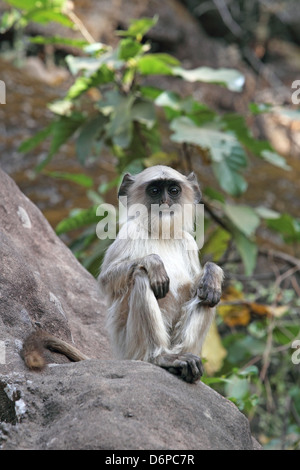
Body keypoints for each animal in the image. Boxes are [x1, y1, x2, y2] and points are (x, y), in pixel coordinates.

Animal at [98, 164, 223, 382]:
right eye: (155, 191)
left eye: (173, 190)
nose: (165, 202)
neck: (161, 234)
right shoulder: (130, 232)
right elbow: (107, 281)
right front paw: (153, 262)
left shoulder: (188, 241)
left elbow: (198, 283)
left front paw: (212, 273)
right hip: (129, 349)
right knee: (141, 277)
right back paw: (161, 358)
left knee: (207, 295)